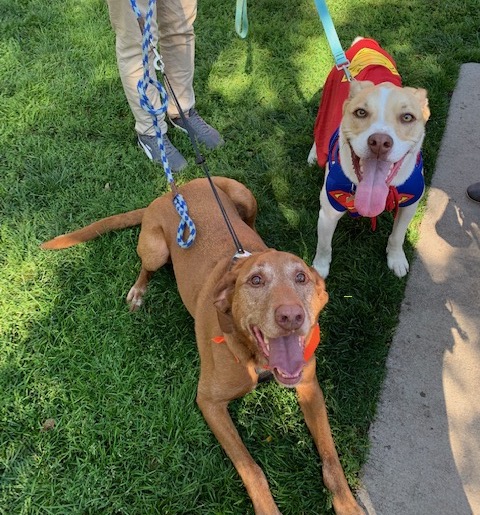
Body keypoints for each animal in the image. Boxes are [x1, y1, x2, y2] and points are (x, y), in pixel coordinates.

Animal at [42, 178, 364, 515]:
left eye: (301, 277)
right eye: (256, 280)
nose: (291, 316)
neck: (256, 358)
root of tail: (172, 192)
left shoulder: (309, 386)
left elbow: (331, 460)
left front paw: (348, 505)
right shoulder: (209, 402)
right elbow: (252, 469)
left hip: (244, 195)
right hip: (156, 249)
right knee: (146, 267)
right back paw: (138, 292)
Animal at [310, 37, 430, 278]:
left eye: (407, 117)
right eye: (361, 112)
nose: (380, 142)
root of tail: (364, 40)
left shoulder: (410, 204)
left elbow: (397, 236)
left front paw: (396, 259)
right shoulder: (328, 211)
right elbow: (324, 246)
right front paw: (319, 269)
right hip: (326, 104)